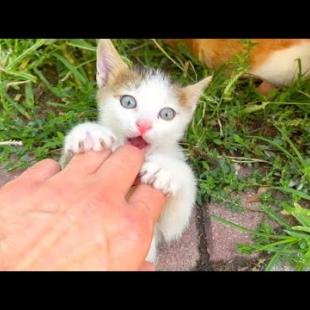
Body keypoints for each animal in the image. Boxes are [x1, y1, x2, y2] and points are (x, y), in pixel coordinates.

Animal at [60, 38, 212, 262]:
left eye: (167, 114)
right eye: (128, 101)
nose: (143, 125)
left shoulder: (167, 225)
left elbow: (179, 210)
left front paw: (166, 169)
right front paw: (89, 132)